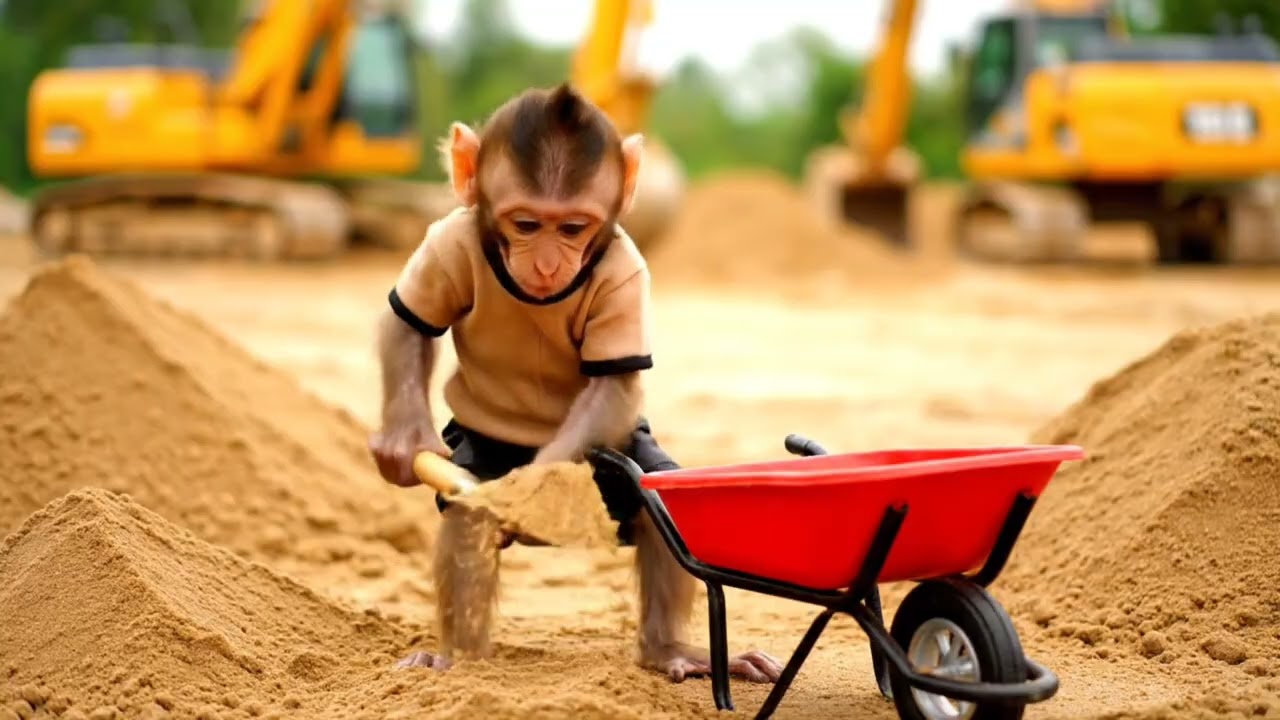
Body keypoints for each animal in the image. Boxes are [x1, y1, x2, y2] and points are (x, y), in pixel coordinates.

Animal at [368, 83, 783, 685]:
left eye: (572, 229)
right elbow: (409, 324)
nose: (546, 266)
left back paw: (671, 652)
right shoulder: (448, 240)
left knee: (655, 496)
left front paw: (536, 495)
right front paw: (402, 444)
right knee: (468, 516)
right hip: (476, 452)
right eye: (524, 225)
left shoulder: (626, 273)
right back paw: (457, 661)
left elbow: (614, 384)